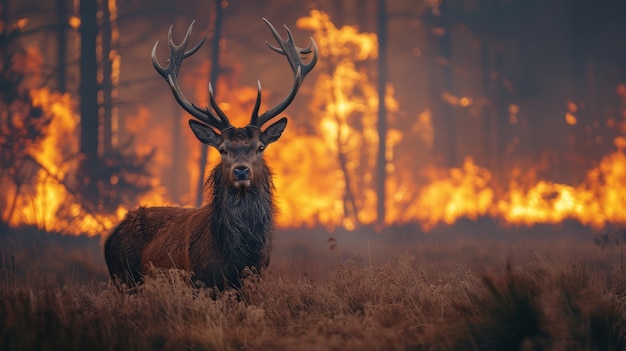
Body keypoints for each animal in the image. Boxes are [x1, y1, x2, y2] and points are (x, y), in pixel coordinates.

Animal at [104, 17, 316, 290]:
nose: (241, 170)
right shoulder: (202, 281)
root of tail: (109, 237)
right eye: (222, 149)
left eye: (260, 147)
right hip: (124, 280)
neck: (238, 259)